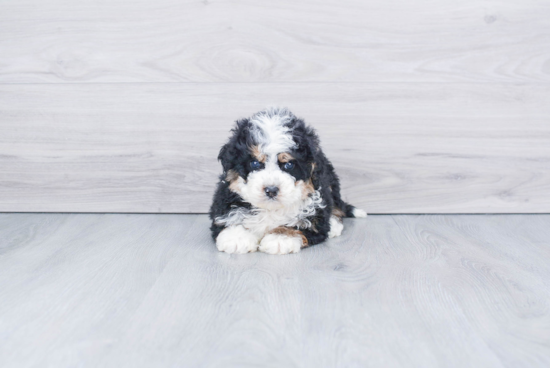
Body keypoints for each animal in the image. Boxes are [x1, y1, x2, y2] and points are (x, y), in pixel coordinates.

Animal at [209, 108, 368, 254]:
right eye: (254, 163)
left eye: (289, 165)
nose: (271, 190)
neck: (271, 209)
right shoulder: (226, 196)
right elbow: (229, 217)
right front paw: (236, 237)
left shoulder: (315, 212)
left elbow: (304, 223)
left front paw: (280, 238)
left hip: (330, 183)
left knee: (336, 206)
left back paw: (334, 224)